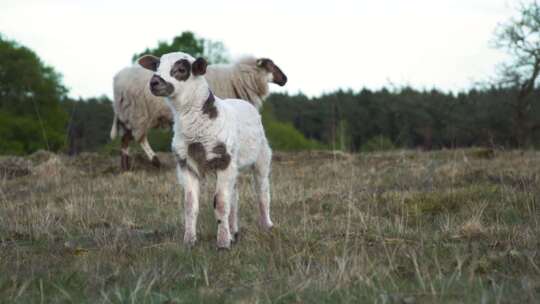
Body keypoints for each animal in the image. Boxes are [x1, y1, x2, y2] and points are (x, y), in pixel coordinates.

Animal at [109, 55, 286, 170]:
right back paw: (152, 162)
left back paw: (126, 167)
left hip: (130, 115)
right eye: (270, 66)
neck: (238, 80)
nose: (285, 79)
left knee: (126, 140)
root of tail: (117, 80)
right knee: (137, 138)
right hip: (138, 114)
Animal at [138, 51, 274, 248]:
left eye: (181, 70)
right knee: (235, 197)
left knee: (262, 191)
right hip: (234, 164)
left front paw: (223, 243)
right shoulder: (185, 164)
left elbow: (221, 203)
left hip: (261, 156)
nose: (154, 82)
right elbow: (190, 205)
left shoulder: (223, 161)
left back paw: (266, 225)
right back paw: (234, 231)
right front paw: (189, 241)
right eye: (156, 66)